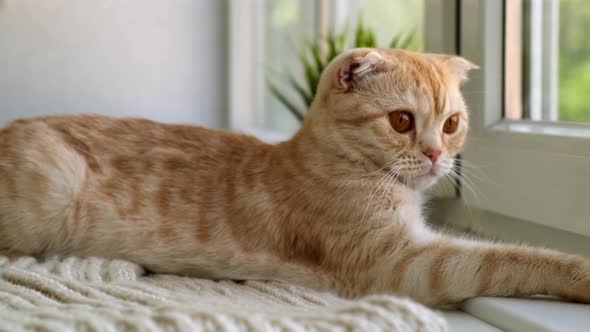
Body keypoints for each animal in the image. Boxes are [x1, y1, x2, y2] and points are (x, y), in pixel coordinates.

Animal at [1, 47, 590, 306]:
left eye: (451, 124)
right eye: (401, 121)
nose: (433, 155)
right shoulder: (401, 263)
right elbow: (508, 259)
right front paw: (577, 271)